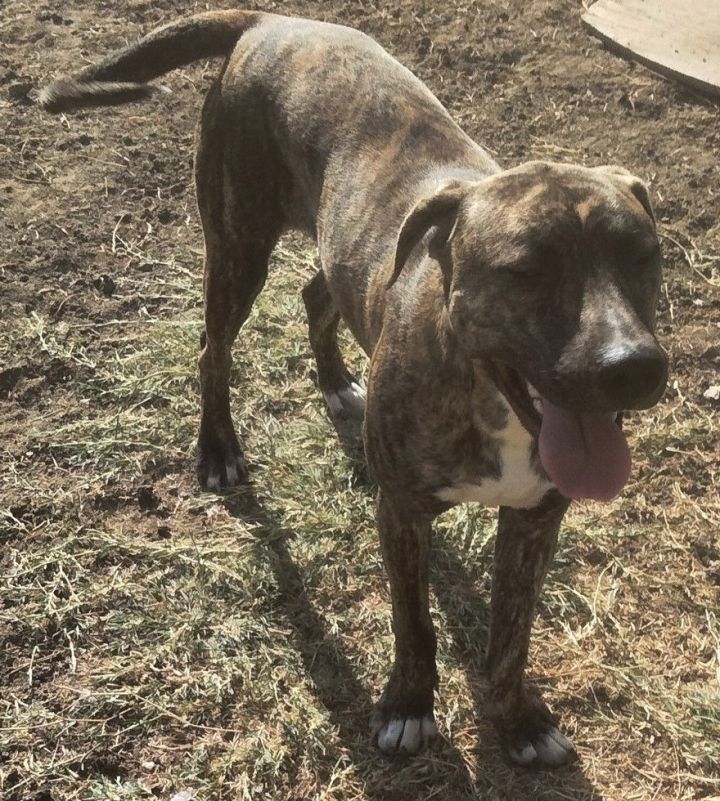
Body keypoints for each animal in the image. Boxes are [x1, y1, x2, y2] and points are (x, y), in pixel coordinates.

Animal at [40, 9, 668, 764]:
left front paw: (518, 717)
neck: (489, 400)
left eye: (645, 257)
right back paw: (218, 448)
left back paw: (339, 381)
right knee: (214, 350)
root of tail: (271, 19)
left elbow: (511, 635)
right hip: (238, 244)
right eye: (527, 270)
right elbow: (413, 621)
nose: (634, 367)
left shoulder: (535, 521)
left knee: (317, 293)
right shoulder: (400, 512)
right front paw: (408, 705)